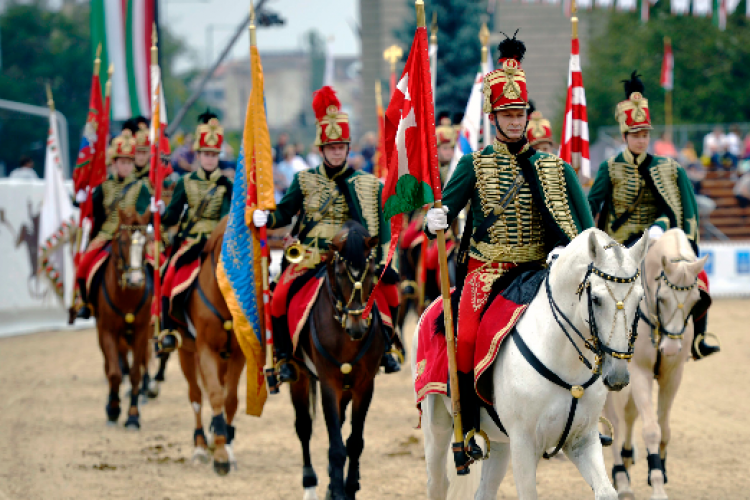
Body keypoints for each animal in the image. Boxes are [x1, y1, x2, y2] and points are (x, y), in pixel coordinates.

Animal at [94, 207, 152, 430]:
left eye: (145, 241)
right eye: (123, 241)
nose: (135, 280)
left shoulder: (142, 331)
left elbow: (135, 373)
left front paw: (133, 415)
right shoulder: (107, 331)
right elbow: (114, 373)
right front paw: (113, 409)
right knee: (110, 367)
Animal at [173, 218, 244, 476]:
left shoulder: (238, 354)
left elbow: (230, 399)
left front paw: (227, 449)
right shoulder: (205, 351)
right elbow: (214, 395)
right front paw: (221, 456)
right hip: (185, 351)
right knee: (195, 395)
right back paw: (201, 447)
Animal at [290, 221, 388, 500]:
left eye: (372, 272)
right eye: (341, 273)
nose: (358, 327)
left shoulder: (364, 385)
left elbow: (354, 442)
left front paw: (349, 487)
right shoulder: (329, 384)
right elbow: (335, 446)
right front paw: (337, 490)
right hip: (299, 376)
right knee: (304, 426)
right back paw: (310, 482)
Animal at [418, 229, 652, 500]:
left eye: (640, 298)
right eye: (596, 299)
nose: (618, 376)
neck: (564, 362)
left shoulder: (582, 440)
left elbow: (606, 492)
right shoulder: (524, 444)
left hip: (499, 443)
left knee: (484, 491)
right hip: (437, 428)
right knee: (437, 483)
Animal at [604, 228, 712, 500]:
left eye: (697, 300)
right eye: (662, 298)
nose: (671, 348)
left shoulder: (672, 375)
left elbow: (664, 429)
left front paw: (660, 472)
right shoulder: (638, 372)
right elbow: (651, 429)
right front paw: (657, 487)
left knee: (629, 415)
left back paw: (627, 458)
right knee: (615, 421)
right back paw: (621, 478)